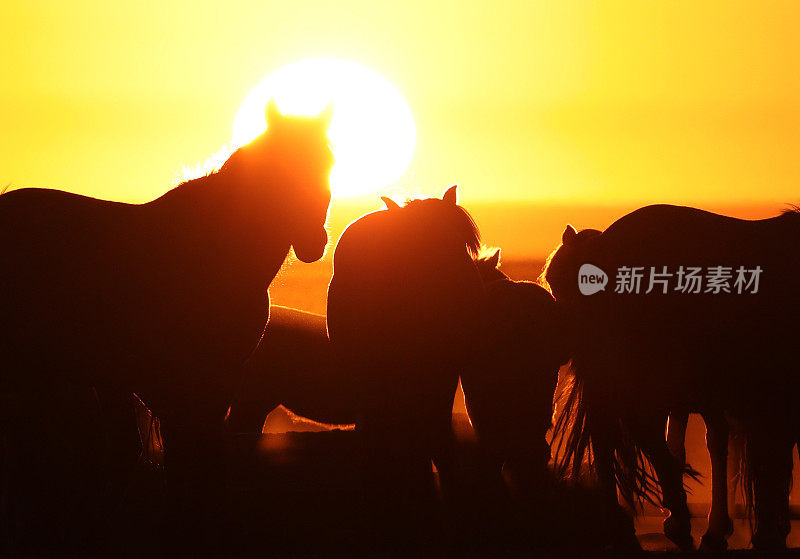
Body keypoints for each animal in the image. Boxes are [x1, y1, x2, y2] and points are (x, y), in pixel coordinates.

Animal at [0, 99, 334, 552]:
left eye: (329, 161)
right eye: (281, 167)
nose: (315, 243)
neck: (216, 251)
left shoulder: (219, 381)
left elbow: (205, 458)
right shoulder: (172, 382)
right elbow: (186, 457)